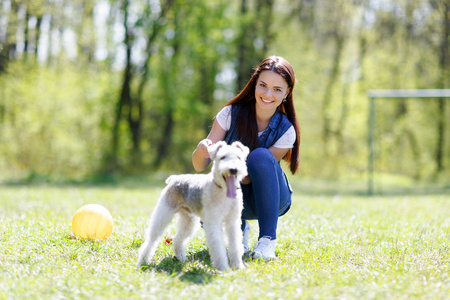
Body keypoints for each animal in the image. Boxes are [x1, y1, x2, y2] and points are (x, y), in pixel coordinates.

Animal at [137, 141, 250, 272]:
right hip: (163, 214)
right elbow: (218, 248)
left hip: (189, 220)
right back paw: (143, 261)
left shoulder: (232, 221)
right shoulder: (213, 223)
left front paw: (238, 266)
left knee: (177, 240)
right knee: (151, 240)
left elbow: (235, 245)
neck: (223, 190)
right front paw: (223, 268)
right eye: (222, 157)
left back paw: (181, 258)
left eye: (239, 157)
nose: (233, 170)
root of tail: (173, 178)